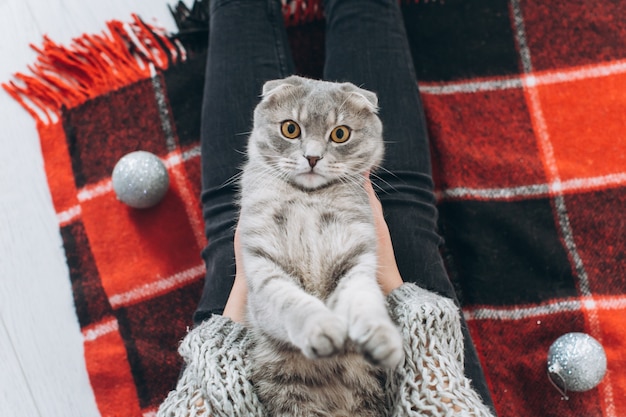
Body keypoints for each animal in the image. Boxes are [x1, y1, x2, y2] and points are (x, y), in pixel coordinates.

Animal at [236, 75, 402, 416]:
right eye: (290, 129)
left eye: (340, 134)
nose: (312, 158)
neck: (308, 198)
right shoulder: (264, 270)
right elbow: (293, 304)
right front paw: (321, 327)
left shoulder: (355, 262)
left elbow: (365, 303)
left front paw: (381, 336)